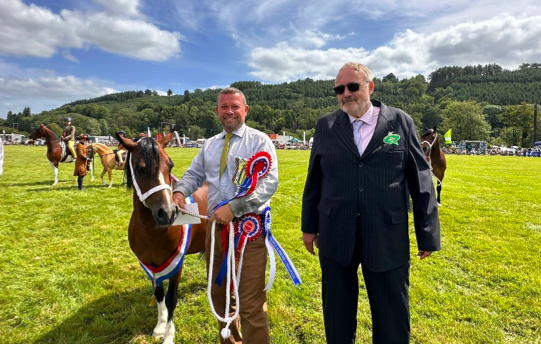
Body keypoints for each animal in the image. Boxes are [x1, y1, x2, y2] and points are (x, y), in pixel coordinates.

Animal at [117, 130, 208, 344]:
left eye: (171, 165)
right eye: (141, 169)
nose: (167, 213)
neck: (151, 232)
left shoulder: (176, 264)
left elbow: (171, 299)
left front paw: (168, 335)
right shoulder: (152, 265)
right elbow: (159, 294)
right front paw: (159, 327)